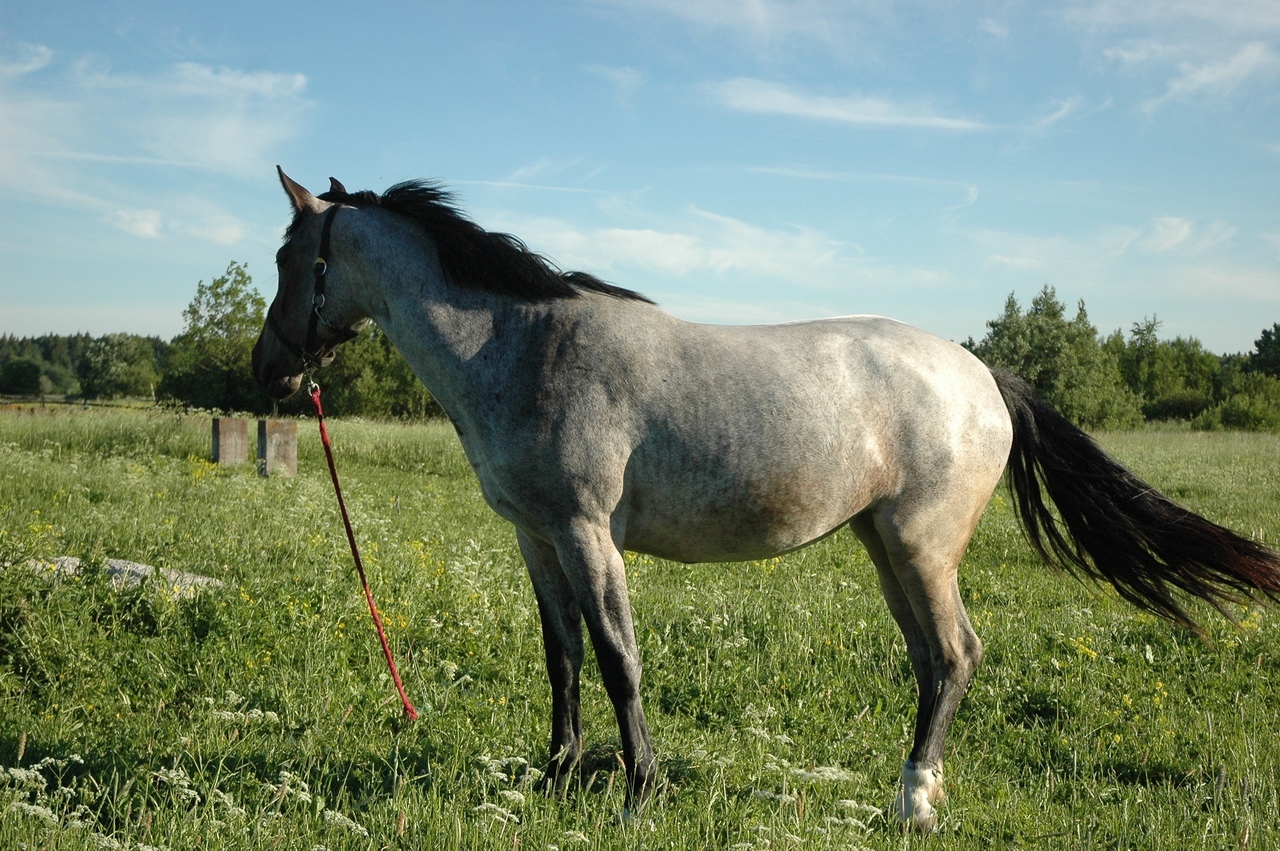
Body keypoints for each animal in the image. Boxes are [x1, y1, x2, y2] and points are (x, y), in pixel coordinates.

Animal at [252, 168, 1280, 834]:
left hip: (921, 546)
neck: (524, 345)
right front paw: (553, 779)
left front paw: (639, 793)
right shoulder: (537, 540)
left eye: (285, 256)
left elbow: (620, 659)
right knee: (931, 661)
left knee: (955, 655)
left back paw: (913, 801)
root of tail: (988, 375)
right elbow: (564, 660)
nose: (267, 370)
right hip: (884, 546)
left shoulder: (587, 533)